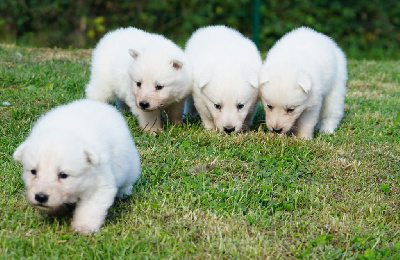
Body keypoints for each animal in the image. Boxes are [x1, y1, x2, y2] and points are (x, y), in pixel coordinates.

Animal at [13, 99, 141, 234]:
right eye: (33, 171)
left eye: (63, 175)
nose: (40, 197)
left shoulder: (99, 183)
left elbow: (90, 208)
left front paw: (84, 227)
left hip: (130, 165)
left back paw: (124, 192)